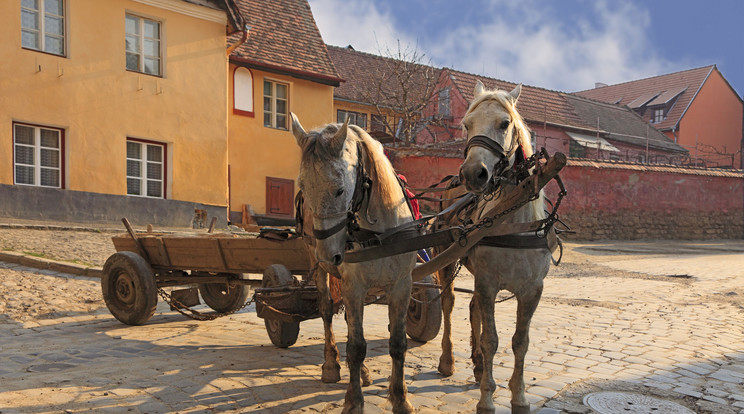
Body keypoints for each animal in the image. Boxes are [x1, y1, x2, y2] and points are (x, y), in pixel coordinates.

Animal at [292, 113, 418, 414]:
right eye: (303, 187)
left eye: (340, 190)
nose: (330, 255)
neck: (380, 233)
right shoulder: (354, 287)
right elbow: (357, 347)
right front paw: (353, 401)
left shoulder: (402, 286)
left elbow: (398, 343)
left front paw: (400, 398)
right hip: (320, 269)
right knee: (327, 311)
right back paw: (331, 365)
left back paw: (362, 374)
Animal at [436, 81, 552, 414]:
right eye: (466, 124)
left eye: (504, 123)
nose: (472, 174)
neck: (512, 222)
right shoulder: (489, 283)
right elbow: (492, 340)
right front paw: (487, 398)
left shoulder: (532, 289)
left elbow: (520, 341)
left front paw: (519, 396)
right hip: (446, 261)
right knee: (448, 303)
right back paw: (448, 360)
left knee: (472, 307)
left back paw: (476, 365)